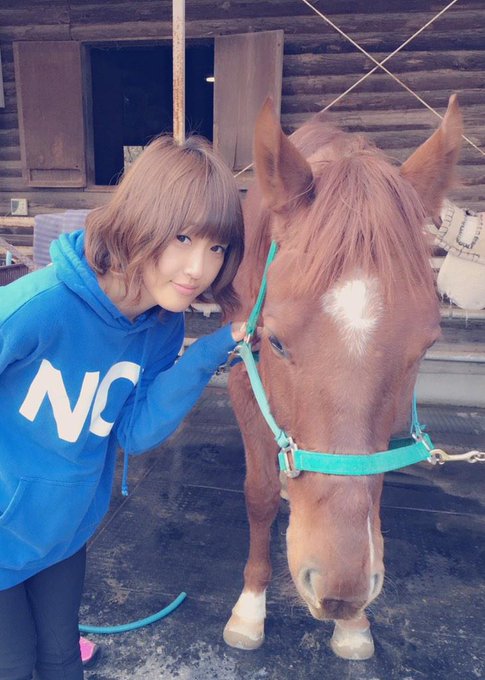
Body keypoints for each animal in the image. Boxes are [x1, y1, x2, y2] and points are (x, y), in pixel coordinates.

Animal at [222, 95, 463, 659]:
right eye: (277, 341)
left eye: (424, 348)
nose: (340, 591)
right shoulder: (245, 376)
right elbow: (259, 493)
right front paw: (250, 609)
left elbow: (372, 488)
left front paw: (353, 626)